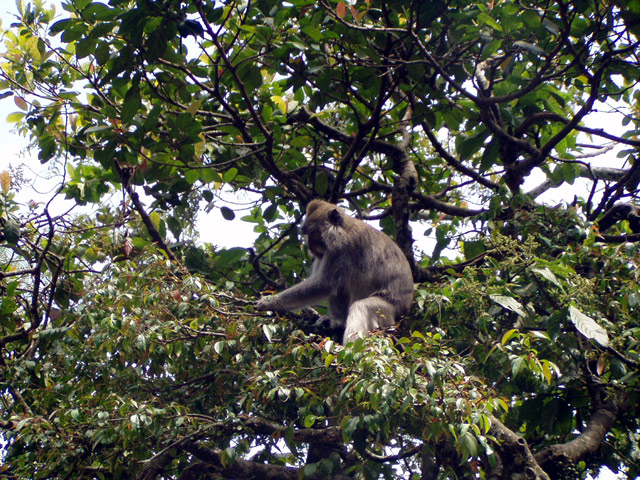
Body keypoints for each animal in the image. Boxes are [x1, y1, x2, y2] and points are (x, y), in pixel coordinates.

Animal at [256, 199, 414, 344]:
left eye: (312, 233)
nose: (310, 248)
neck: (344, 229)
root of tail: (404, 313)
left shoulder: (342, 248)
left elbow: (324, 284)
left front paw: (269, 302)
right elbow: (331, 285)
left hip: (388, 313)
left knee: (361, 307)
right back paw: (338, 321)